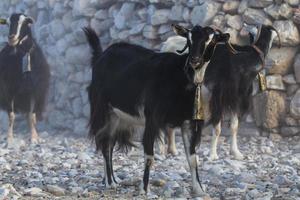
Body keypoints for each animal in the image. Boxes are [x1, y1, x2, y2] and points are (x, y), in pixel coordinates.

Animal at [0, 13, 49, 145]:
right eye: (7, 23)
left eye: (24, 22)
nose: (11, 37)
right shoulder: (8, 90)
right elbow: (11, 116)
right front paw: (9, 138)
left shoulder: (33, 90)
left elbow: (31, 116)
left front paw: (34, 138)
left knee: (30, 116)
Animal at [83, 23, 233, 195]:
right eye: (189, 39)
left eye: (211, 40)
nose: (194, 60)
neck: (181, 78)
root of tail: (101, 56)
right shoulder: (152, 118)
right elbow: (149, 156)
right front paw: (144, 189)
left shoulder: (188, 122)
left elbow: (193, 159)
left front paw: (200, 190)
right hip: (103, 110)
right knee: (105, 143)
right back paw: (110, 183)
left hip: (117, 116)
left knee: (109, 143)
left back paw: (113, 179)